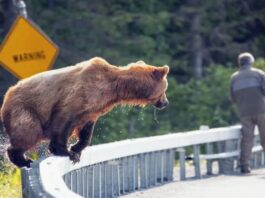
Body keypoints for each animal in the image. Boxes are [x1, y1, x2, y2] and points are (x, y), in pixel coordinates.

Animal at [1, 57, 168, 167]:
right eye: (165, 89)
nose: (166, 103)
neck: (114, 88)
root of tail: (7, 96)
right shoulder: (79, 95)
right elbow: (63, 120)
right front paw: (66, 152)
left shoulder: (93, 110)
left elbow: (86, 131)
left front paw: (76, 149)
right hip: (24, 109)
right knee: (28, 131)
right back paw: (24, 159)